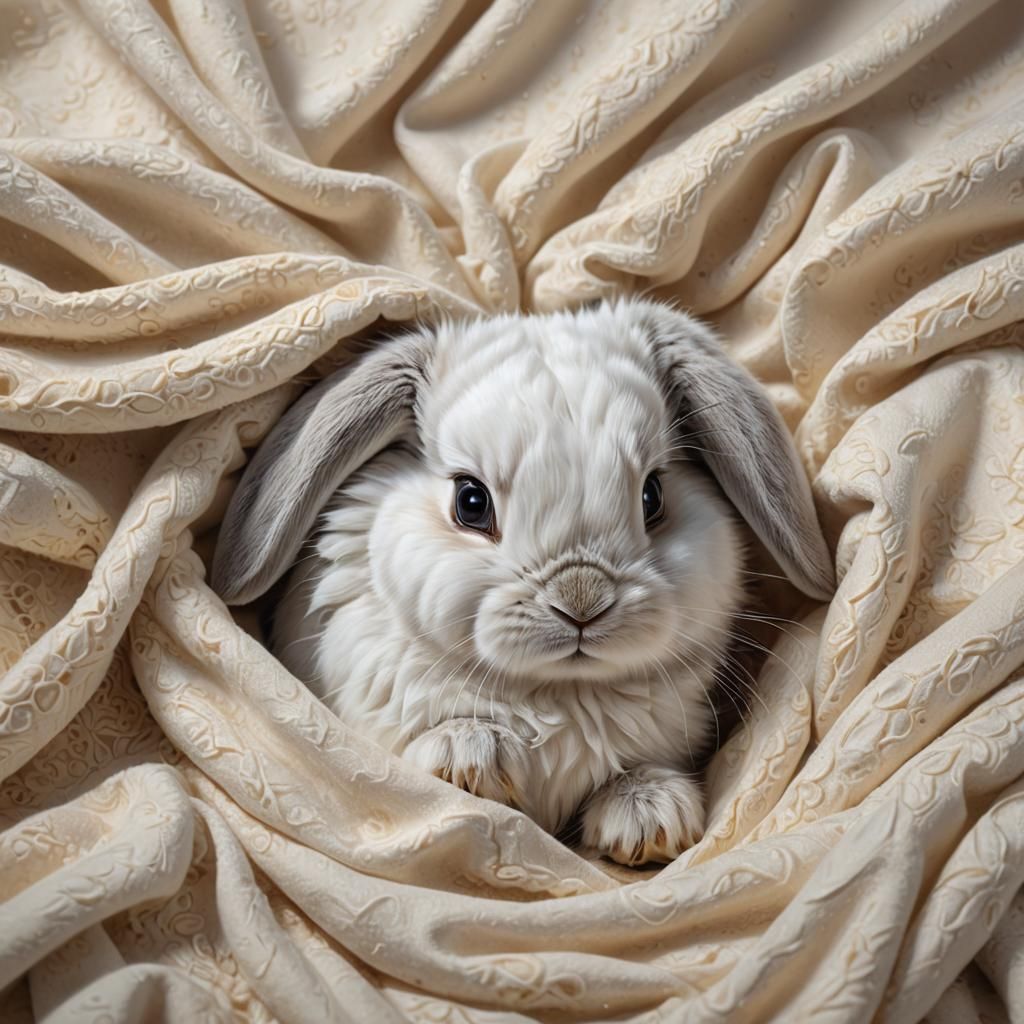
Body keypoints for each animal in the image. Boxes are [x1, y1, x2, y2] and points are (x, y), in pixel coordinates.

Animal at [212, 297, 834, 866]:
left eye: (653, 495)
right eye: (470, 501)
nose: (581, 601)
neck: (556, 693)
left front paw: (650, 819)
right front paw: (468, 759)